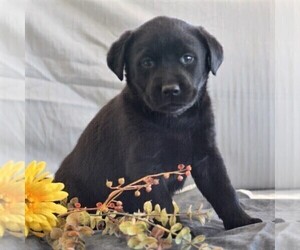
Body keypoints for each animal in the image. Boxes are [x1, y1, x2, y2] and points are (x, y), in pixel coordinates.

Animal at [55, 16, 262, 229]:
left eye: (188, 58)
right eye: (147, 62)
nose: (171, 89)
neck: (175, 122)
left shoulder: (208, 157)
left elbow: (224, 190)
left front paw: (242, 221)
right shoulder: (147, 167)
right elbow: (162, 205)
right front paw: (175, 231)